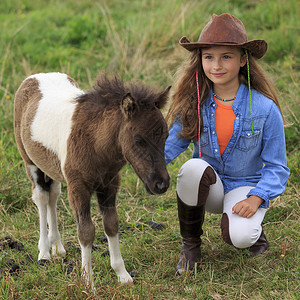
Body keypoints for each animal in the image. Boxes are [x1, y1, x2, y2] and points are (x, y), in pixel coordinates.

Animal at [13, 72, 171, 286]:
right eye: (139, 139)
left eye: (166, 136)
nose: (161, 184)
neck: (96, 144)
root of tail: (35, 76)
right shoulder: (78, 188)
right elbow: (86, 232)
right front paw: (88, 281)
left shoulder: (109, 184)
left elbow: (111, 225)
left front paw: (122, 275)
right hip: (30, 162)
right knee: (41, 197)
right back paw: (44, 252)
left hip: (51, 166)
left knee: (53, 195)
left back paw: (58, 247)